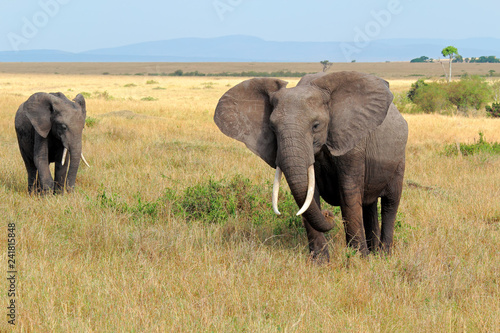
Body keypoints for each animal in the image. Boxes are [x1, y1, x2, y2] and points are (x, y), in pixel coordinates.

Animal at [214, 72, 406, 260]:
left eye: (316, 126)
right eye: (272, 128)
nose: (329, 214)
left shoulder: (353, 145)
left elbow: (348, 194)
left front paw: (359, 260)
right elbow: (309, 195)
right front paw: (320, 262)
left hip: (399, 159)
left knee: (390, 203)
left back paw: (383, 256)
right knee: (369, 205)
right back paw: (375, 252)